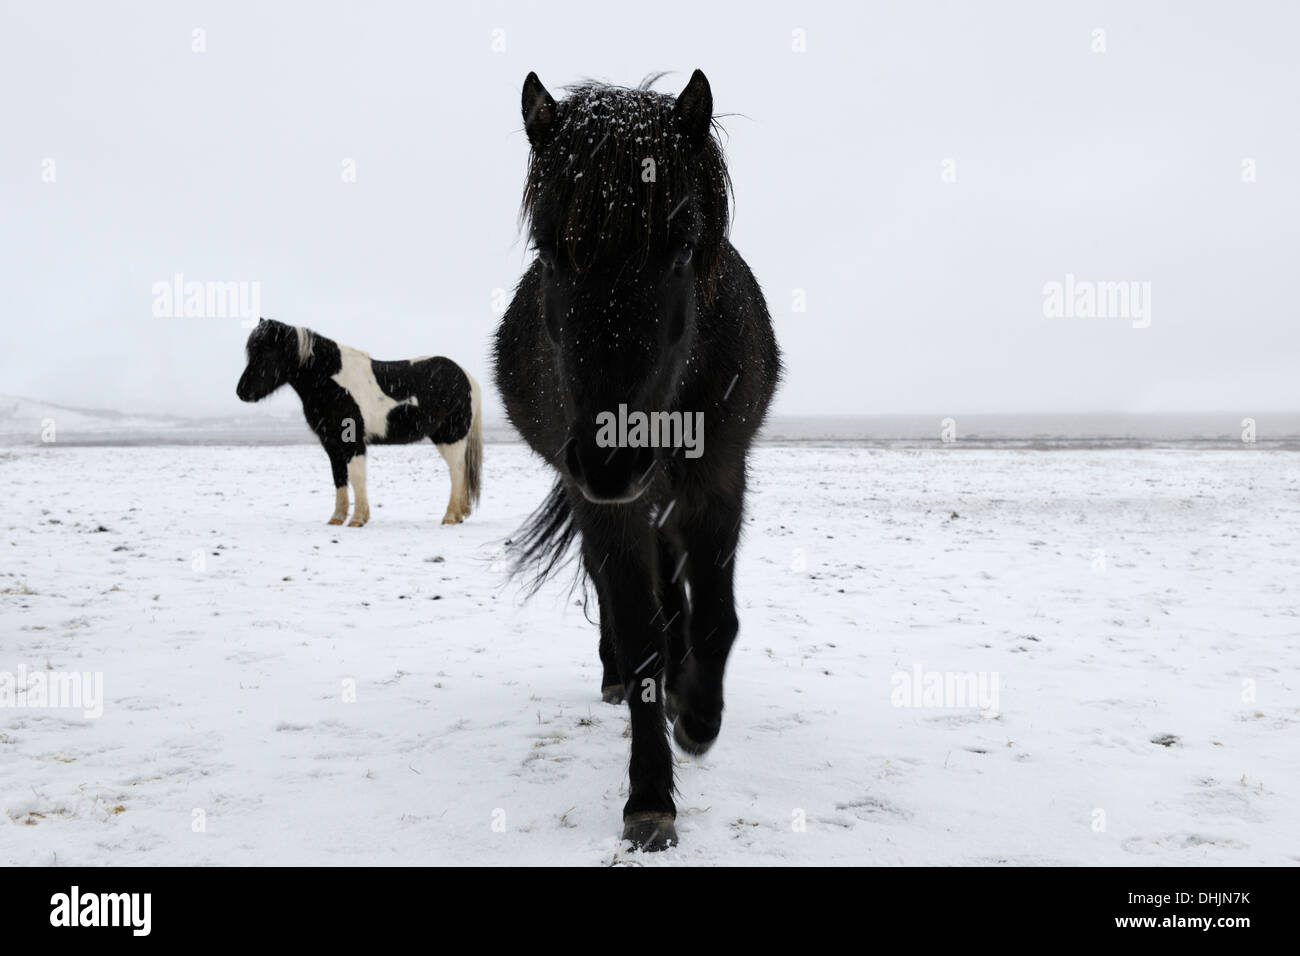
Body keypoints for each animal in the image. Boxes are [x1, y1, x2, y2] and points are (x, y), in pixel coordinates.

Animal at [235, 319, 483, 530]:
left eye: (267, 352)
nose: (242, 392)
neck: (331, 383)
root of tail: (465, 376)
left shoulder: (353, 442)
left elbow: (356, 477)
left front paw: (357, 519)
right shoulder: (332, 444)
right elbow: (339, 478)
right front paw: (336, 519)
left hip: (452, 437)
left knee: (457, 472)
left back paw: (450, 517)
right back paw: (459, 515)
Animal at [491, 74, 780, 853]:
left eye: (680, 251)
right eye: (550, 251)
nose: (611, 458)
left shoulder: (718, 482)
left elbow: (713, 619)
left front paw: (700, 718)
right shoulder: (607, 508)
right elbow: (640, 628)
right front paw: (649, 798)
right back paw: (618, 677)